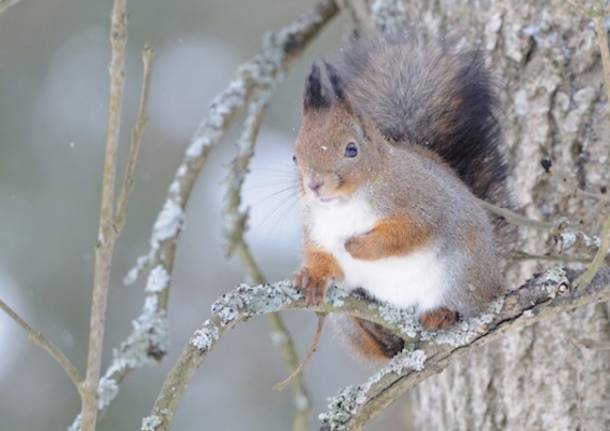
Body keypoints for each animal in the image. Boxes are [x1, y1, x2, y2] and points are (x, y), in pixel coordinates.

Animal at [290, 34, 508, 364]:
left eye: (351, 149)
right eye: (295, 155)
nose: (314, 184)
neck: (346, 204)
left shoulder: (423, 205)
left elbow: (405, 235)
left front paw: (357, 246)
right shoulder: (315, 228)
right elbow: (320, 255)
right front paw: (311, 277)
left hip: (462, 274)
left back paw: (441, 316)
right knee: (380, 347)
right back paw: (378, 334)